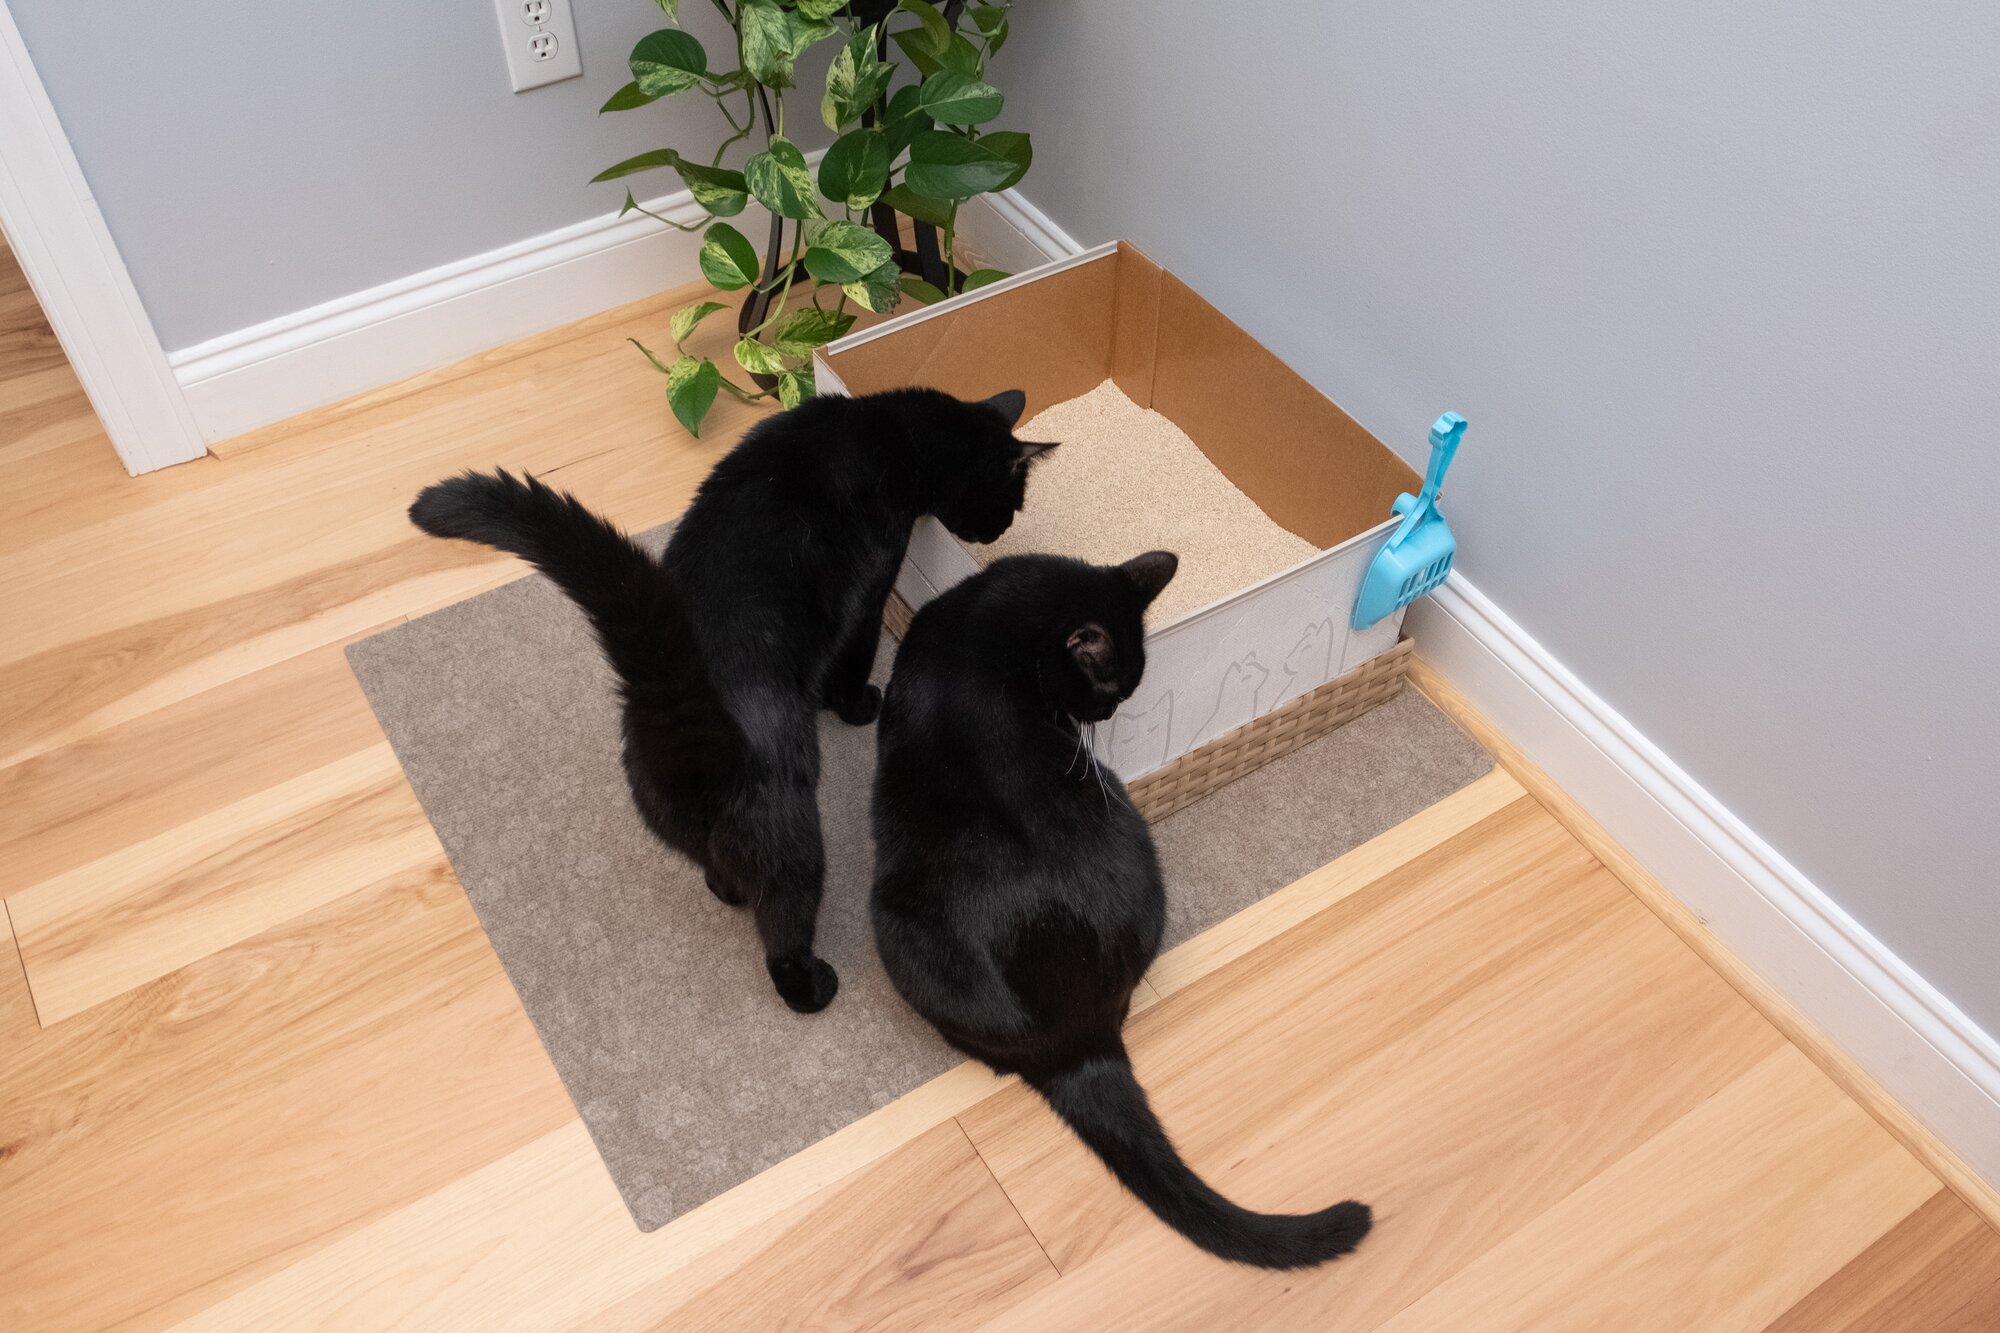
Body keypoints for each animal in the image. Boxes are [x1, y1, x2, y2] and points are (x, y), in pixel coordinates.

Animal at [412, 384, 1056, 1008]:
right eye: (1012, 499)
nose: (999, 532)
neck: (893, 428)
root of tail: (678, 719)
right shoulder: (872, 593)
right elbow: (853, 660)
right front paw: (858, 708)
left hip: (695, 828)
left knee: (720, 873)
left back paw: (727, 893)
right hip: (794, 837)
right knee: (782, 927)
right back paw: (813, 987)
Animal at [876, 548, 1376, 1264]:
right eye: (1108, 690)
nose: (1106, 719)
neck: (990, 620)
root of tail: (1086, 1043)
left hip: (897, 926)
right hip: (1138, 849)